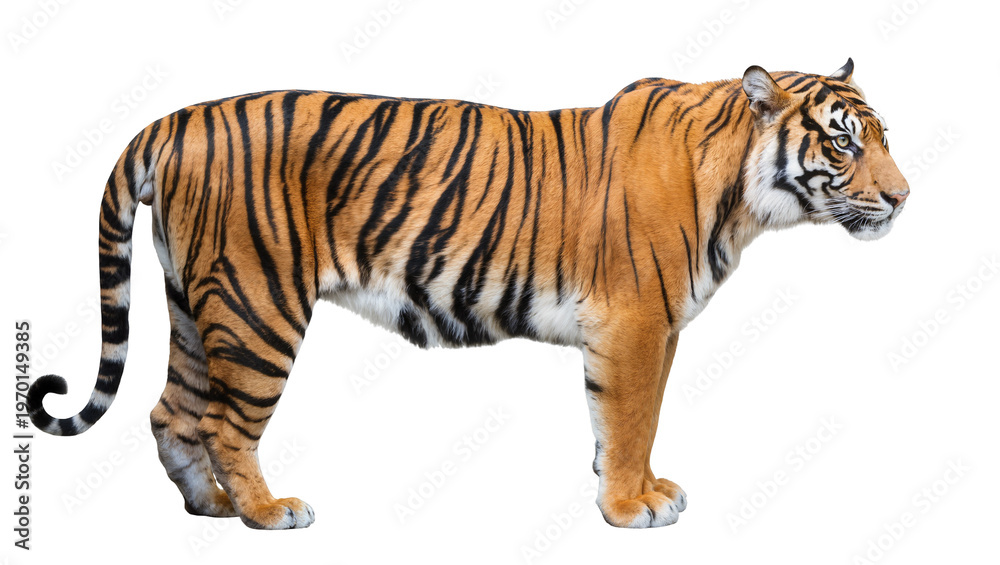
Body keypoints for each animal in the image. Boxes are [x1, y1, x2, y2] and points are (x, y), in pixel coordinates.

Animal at [27, 58, 908, 530]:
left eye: (881, 136)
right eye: (842, 142)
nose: (903, 197)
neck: (742, 197)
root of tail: (174, 120)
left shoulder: (651, 330)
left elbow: (626, 421)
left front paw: (635, 488)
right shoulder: (635, 323)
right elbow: (632, 418)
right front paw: (630, 506)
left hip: (192, 302)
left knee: (169, 411)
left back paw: (207, 505)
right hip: (257, 305)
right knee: (221, 421)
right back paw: (268, 511)